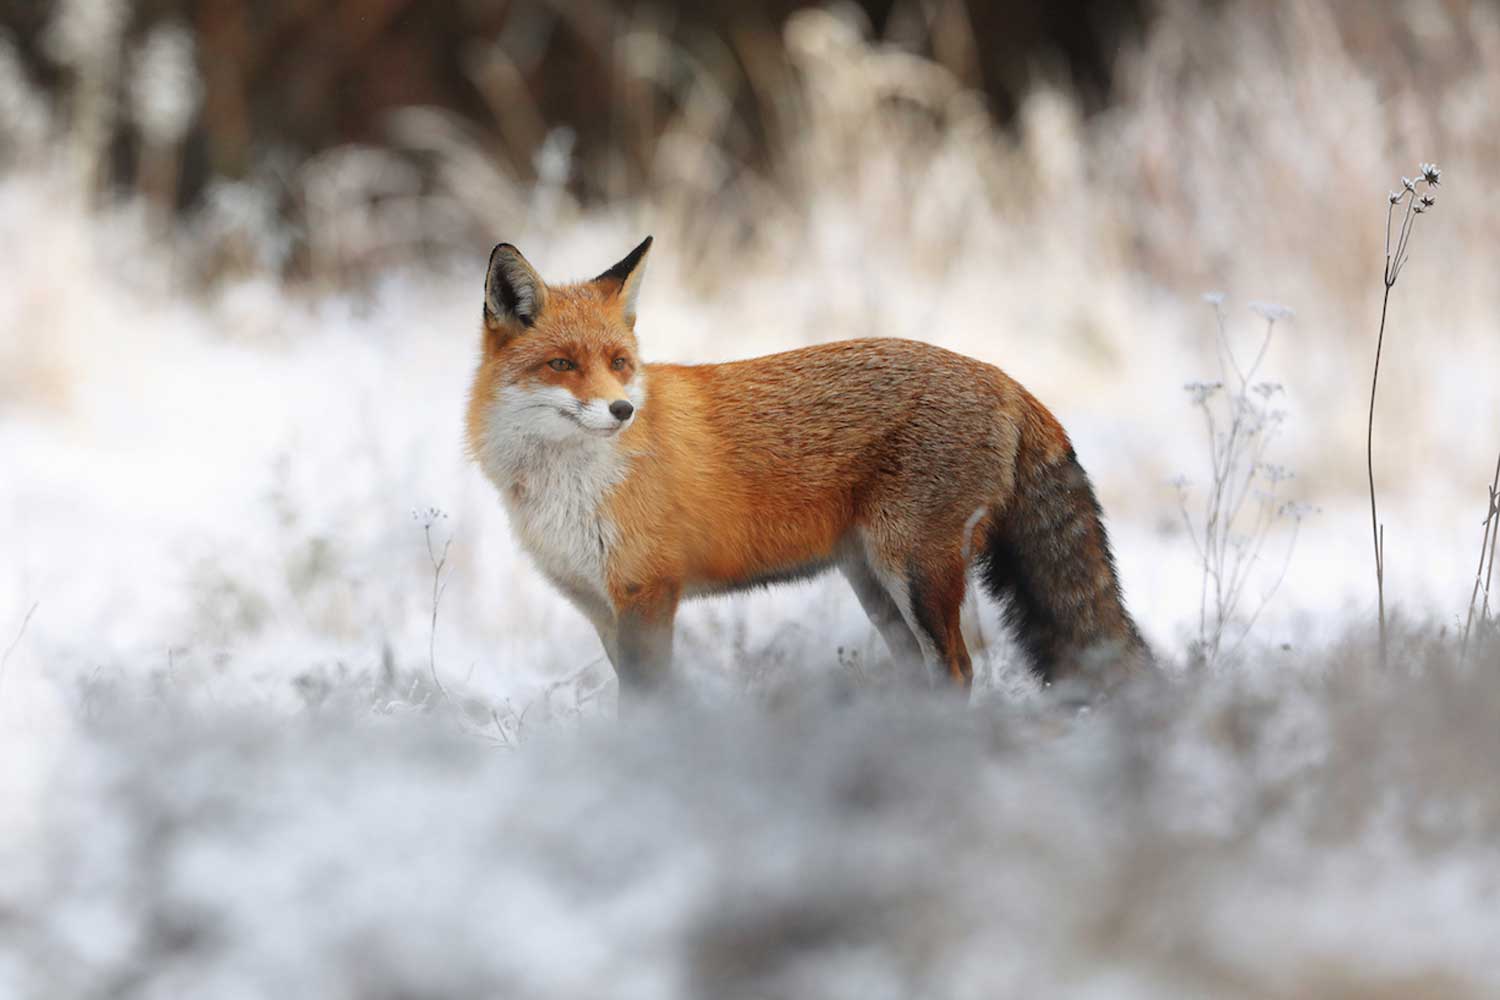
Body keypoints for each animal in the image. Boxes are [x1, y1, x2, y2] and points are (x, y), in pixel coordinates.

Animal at [468, 238, 1146, 701]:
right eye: (562, 364)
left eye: (618, 362)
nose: (622, 410)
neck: (564, 485)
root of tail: (1005, 377)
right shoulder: (599, 606)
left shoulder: (648, 593)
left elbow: (647, 706)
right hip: (875, 587)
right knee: (925, 672)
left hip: (914, 573)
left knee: (958, 670)